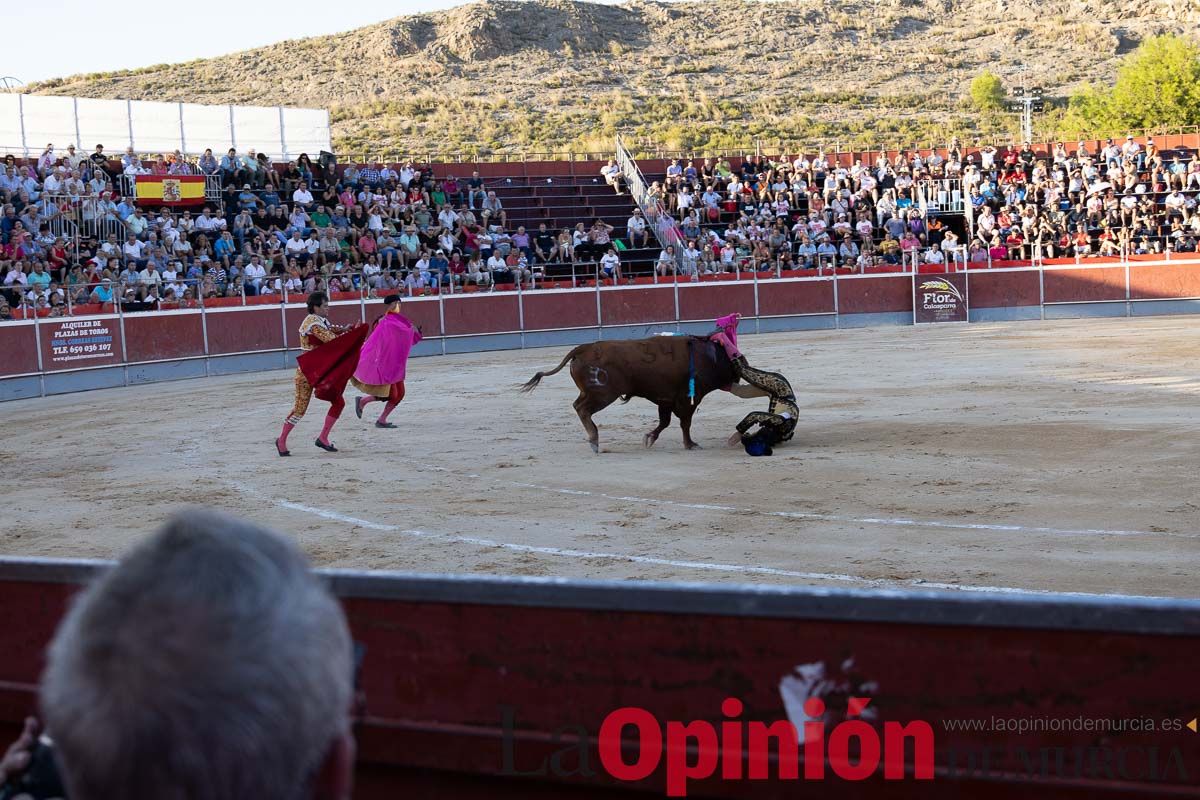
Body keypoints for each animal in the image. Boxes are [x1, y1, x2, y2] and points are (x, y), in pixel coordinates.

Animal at [518, 335, 734, 453]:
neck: (707, 356)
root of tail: (584, 348)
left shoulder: (664, 399)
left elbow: (665, 422)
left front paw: (649, 438)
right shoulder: (687, 399)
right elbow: (684, 423)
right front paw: (690, 444)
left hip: (590, 392)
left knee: (577, 405)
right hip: (603, 394)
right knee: (582, 409)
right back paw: (594, 440)